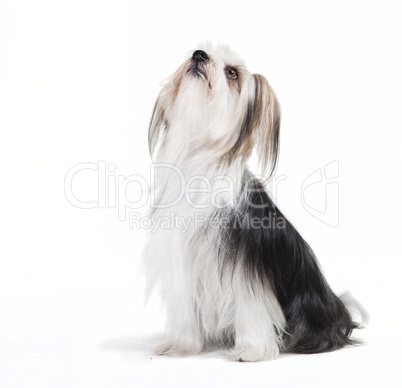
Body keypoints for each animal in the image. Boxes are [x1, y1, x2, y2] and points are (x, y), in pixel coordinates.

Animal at [143, 44, 366, 362]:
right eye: (201, 51)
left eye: (232, 72)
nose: (198, 55)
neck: (200, 163)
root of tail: (340, 314)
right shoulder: (181, 263)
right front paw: (181, 346)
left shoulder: (246, 267)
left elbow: (252, 306)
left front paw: (250, 350)